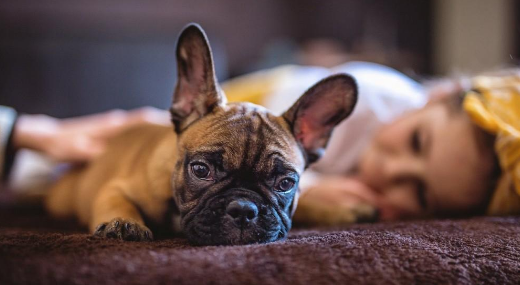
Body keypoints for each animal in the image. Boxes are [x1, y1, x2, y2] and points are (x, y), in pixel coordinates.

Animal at [45, 23, 358, 244]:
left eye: (285, 183)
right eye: (200, 170)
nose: (244, 209)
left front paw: (340, 210)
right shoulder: (117, 186)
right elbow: (114, 199)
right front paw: (123, 222)